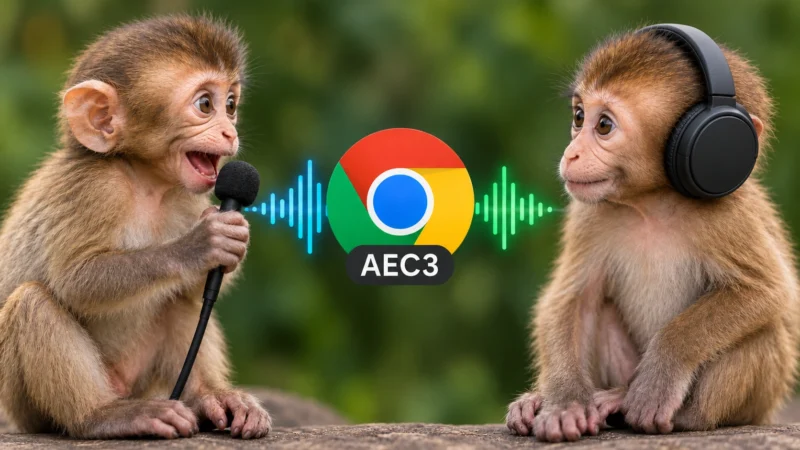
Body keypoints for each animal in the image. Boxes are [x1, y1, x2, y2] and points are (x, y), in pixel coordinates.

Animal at [0, 15, 272, 439]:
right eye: (205, 105)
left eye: (231, 105)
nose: (231, 132)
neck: (146, 180)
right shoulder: (97, 188)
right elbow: (75, 280)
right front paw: (200, 245)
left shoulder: (188, 198)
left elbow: (194, 288)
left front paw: (235, 238)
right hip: (23, 405)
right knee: (32, 302)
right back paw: (104, 415)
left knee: (181, 300)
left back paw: (211, 397)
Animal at [505, 27, 799, 443]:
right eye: (579, 116)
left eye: (604, 126)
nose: (571, 153)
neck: (652, 204)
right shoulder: (589, 214)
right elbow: (571, 300)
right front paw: (563, 404)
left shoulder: (728, 217)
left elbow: (768, 292)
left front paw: (659, 379)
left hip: (759, 401)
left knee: (764, 331)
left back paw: (672, 412)